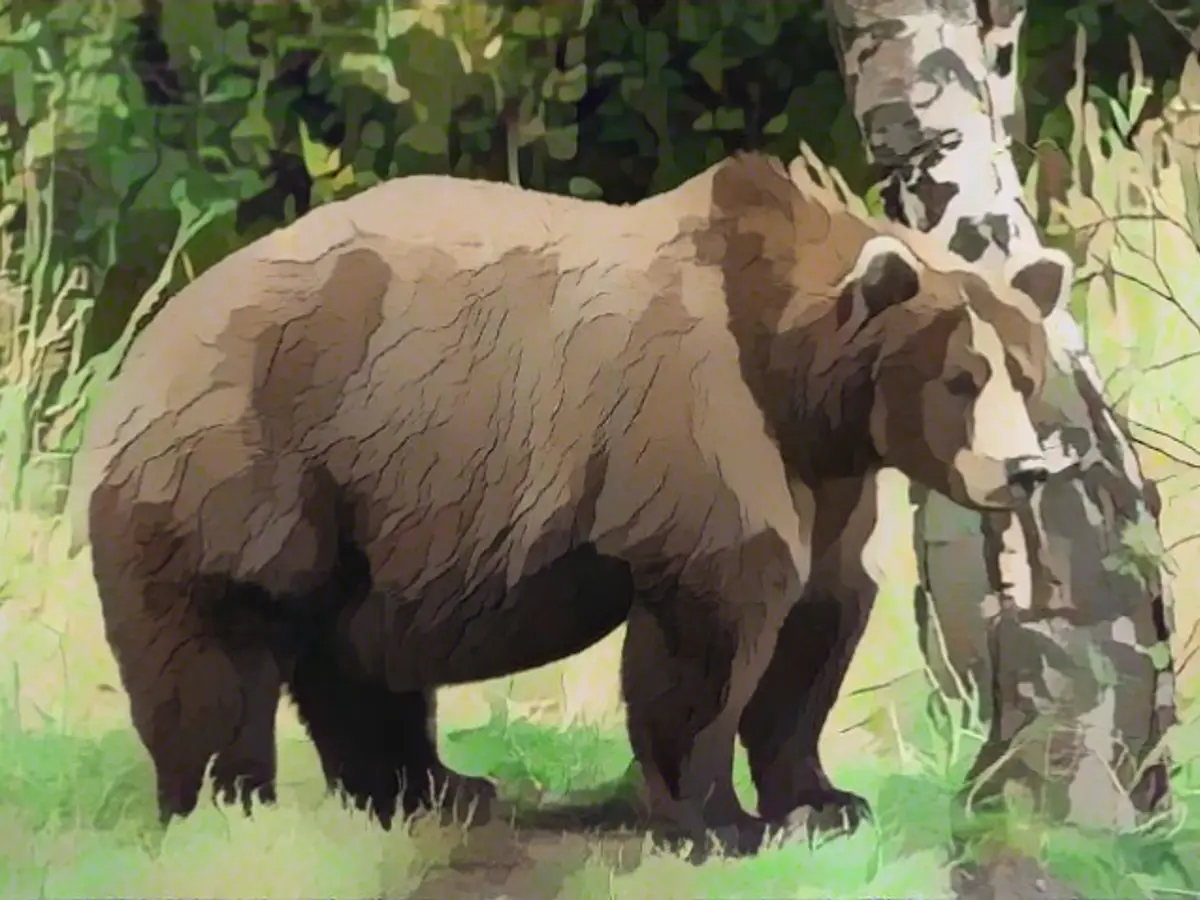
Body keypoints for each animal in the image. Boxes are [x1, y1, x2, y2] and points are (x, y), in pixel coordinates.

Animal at [67, 151, 1070, 855]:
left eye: (1025, 371)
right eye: (960, 378)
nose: (1023, 469)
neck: (794, 376)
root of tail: (134, 361)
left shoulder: (827, 475)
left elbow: (819, 619)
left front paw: (826, 800)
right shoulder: (694, 420)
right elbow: (718, 620)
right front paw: (719, 818)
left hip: (370, 500)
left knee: (354, 659)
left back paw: (439, 788)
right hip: (248, 466)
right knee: (215, 648)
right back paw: (228, 801)